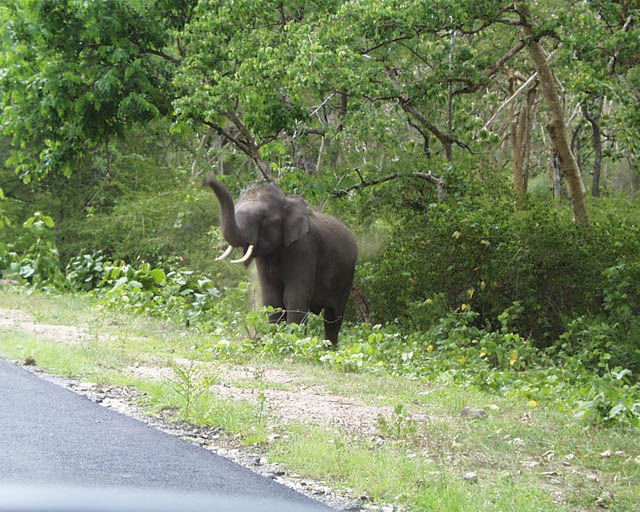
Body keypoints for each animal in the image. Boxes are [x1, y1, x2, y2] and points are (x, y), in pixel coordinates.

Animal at [205, 176, 357, 347]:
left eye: (262, 219)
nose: (207, 180)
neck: (286, 202)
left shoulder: (304, 248)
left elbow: (294, 297)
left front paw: (293, 341)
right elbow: (272, 298)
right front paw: (276, 338)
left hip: (347, 275)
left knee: (334, 316)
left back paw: (329, 349)